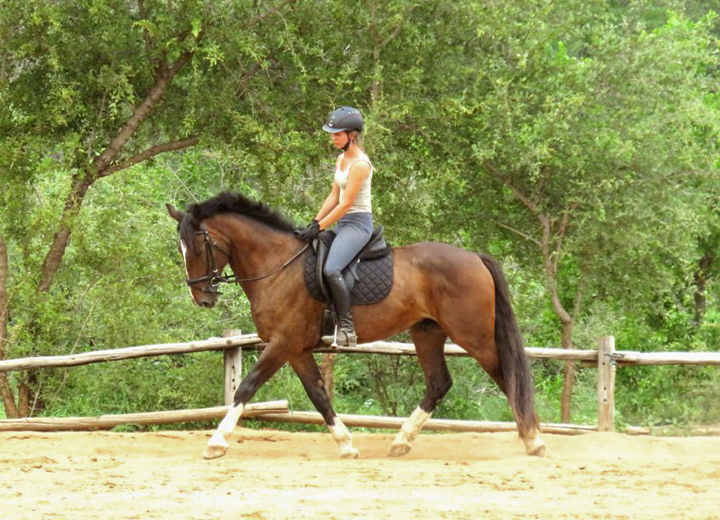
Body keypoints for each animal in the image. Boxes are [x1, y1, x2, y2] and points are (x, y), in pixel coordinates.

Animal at [166, 192, 545, 460]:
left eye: (198, 246)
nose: (202, 297)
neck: (278, 266)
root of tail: (475, 258)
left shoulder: (283, 342)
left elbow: (246, 387)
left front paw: (216, 443)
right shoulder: (297, 348)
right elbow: (318, 395)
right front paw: (346, 444)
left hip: (474, 336)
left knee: (506, 376)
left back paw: (534, 441)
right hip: (426, 331)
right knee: (439, 382)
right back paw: (401, 442)